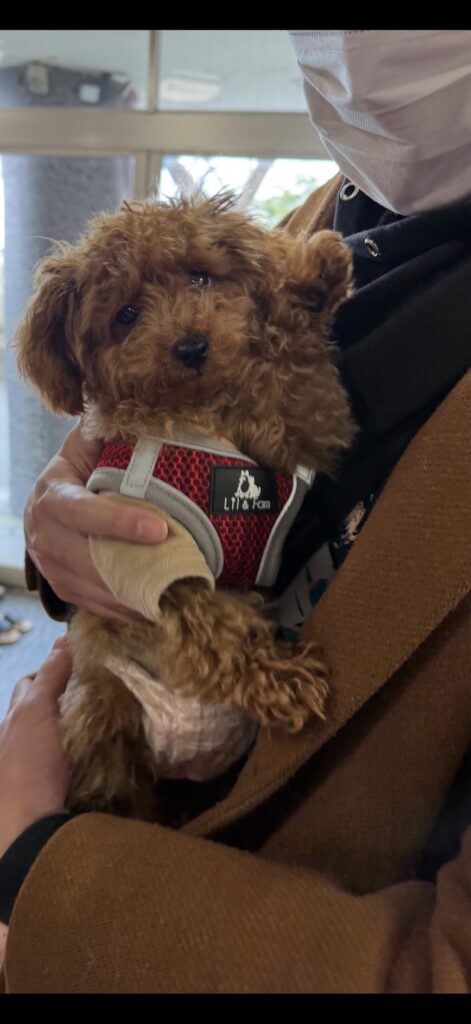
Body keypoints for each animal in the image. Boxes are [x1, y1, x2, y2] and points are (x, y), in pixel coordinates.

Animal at [16, 192, 356, 818]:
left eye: (200, 277)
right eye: (126, 314)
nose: (193, 346)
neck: (194, 415)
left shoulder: (294, 431)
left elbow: (289, 368)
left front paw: (312, 278)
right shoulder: (153, 554)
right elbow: (217, 632)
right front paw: (285, 683)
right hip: (102, 718)